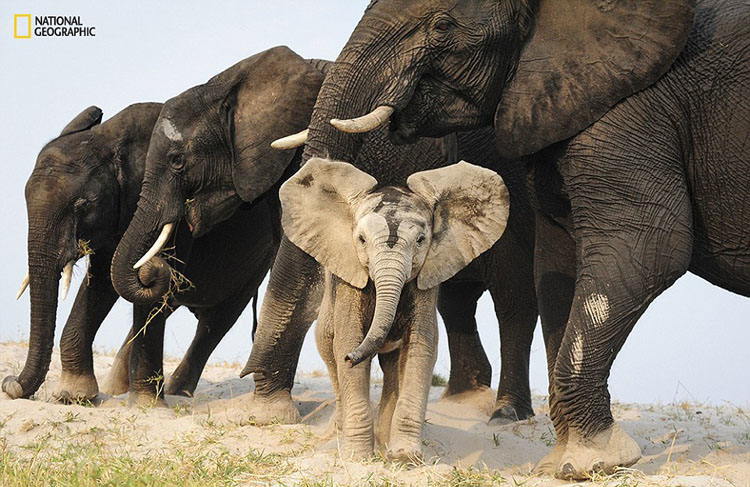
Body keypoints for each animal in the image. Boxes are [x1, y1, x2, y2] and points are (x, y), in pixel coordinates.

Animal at [282, 159, 512, 462]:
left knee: (392, 368)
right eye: (361, 240)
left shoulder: (426, 278)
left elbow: (420, 348)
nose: (350, 358)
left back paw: (383, 441)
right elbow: (349, 339)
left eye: (421, 240)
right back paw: (341, 435)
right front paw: (358, 459)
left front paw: (404, 458)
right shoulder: (349, 282)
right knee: (331, 358)